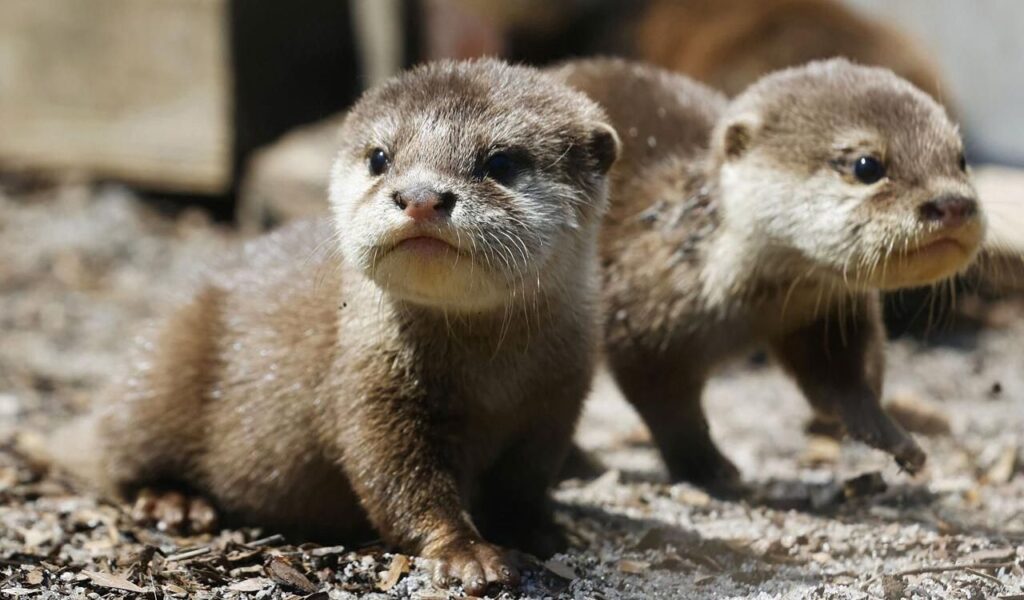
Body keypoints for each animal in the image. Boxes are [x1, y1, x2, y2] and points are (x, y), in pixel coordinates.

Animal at [56, 59, 618, 595]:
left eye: (501, 162)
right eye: (380, 158)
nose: (419, 196)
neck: (492, 380)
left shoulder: (557, 402)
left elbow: (525, 483)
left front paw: (544, 531)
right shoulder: (368, 388)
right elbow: (402, 483)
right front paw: (467, 554)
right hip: (160, 373)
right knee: (114, 460)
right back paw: (175, 502)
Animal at [551, 58, 984, 486]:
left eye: (961, 159)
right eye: (867, 166)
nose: (953, 204)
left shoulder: (822, 312)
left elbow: (842, 376)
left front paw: (890, 434)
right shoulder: (641, 319)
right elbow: (667, 405)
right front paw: (708, 467)